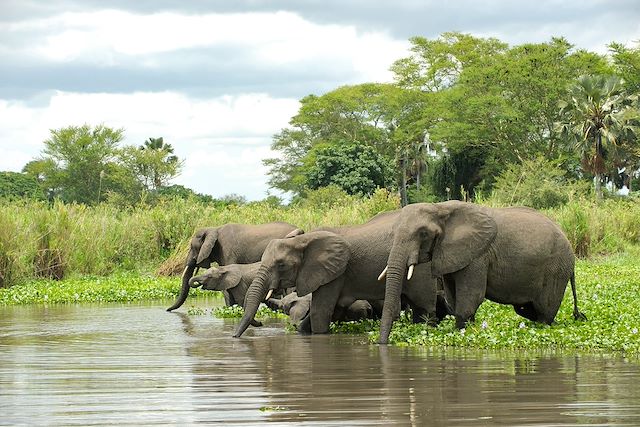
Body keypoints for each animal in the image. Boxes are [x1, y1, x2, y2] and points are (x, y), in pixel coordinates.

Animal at [232, 210, 442, 338]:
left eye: (281, 265)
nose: (234, 337)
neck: (304, 240)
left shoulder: (335, 273)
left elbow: (320, 311)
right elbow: (329, 311)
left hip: (421, 267)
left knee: (423, 306)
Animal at [378, 202, 588, 346]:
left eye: (422, 233)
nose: (383, 344)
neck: (440, 208)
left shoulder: (478, 255)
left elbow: (470, 298)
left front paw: (463, 331)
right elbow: (454, 300)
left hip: (556, 269)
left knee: (545, 311)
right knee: (526, 309)